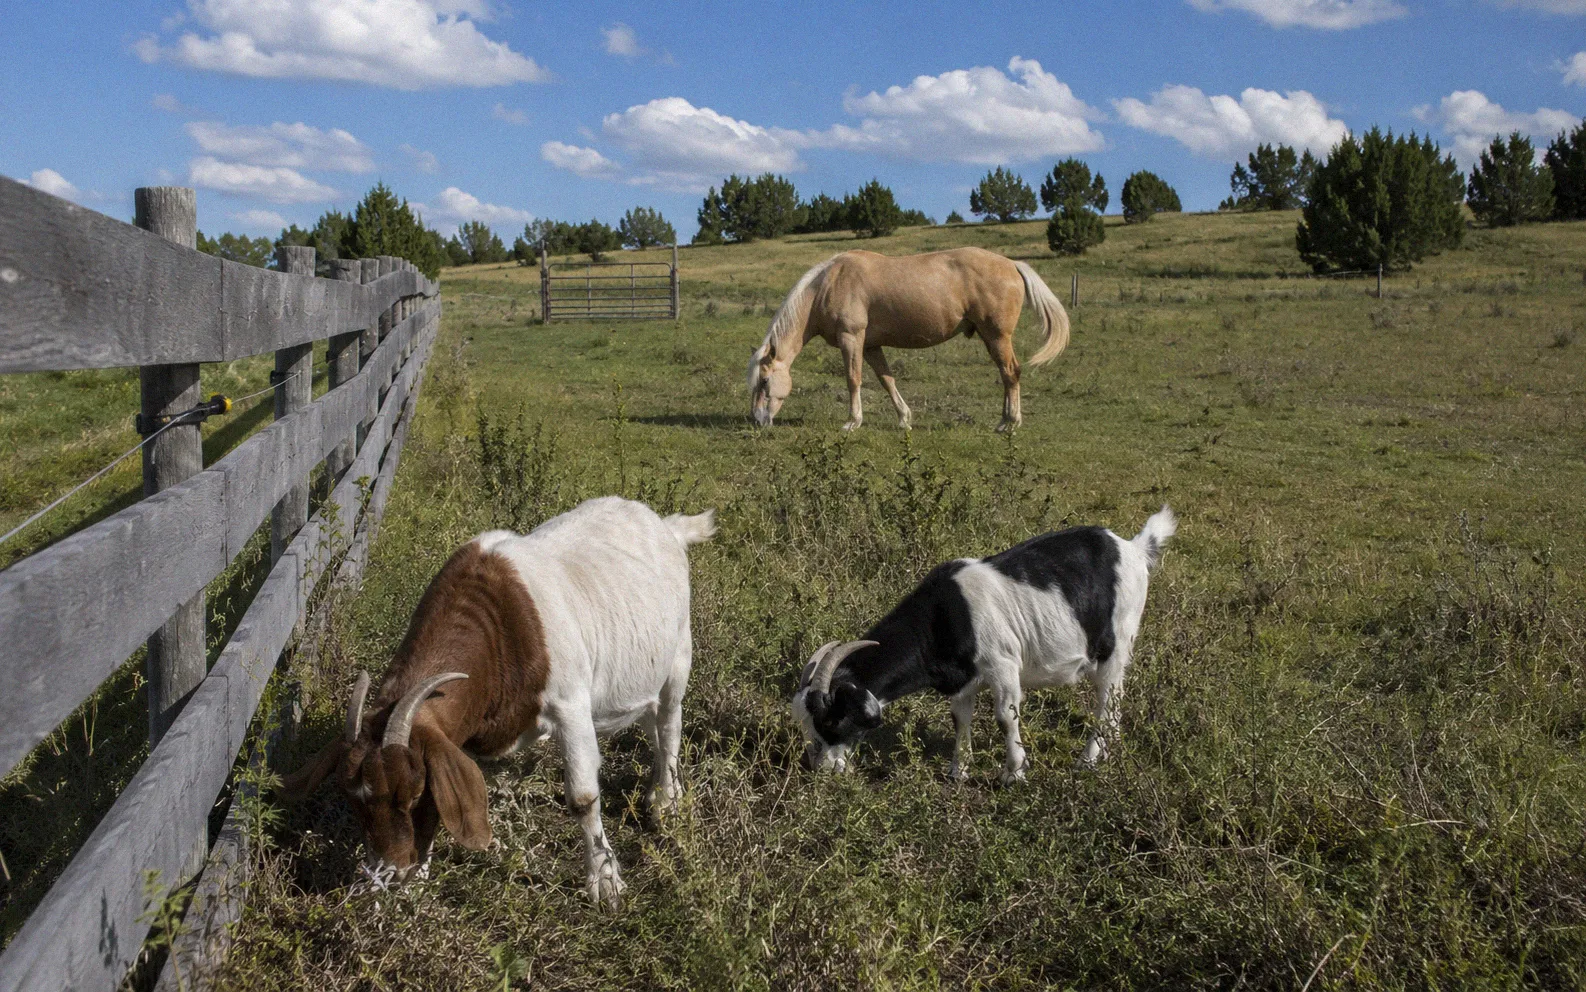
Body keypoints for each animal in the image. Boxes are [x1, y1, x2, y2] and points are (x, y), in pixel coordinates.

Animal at [281, 496, 716, 908]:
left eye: (414, 794)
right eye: (353, 801)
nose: (390, 875)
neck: (497, 626)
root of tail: (667, 527)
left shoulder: (571, 703)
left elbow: (583, 797)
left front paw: (605, 882)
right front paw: (418, 882)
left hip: (679, 653)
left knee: (669, 722)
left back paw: (666, 802)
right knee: (652, 722)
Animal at [747, 247, 1070, 431]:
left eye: (765, 381)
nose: (757, 420)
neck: (828, 284)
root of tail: (1012, 264)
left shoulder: (851, 339)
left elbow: (853, 379)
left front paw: (853, 422)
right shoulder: (871, 345)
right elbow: (887, 380)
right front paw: (904, 419)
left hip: (997, 336)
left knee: (1010, 373)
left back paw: (1009, 423)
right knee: (1006, 375)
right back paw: (1005, 420)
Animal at [792, 506, 1175, 783]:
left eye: (831, 721)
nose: (822, 769)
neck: (945, 615)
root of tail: (1135, 548)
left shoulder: (1003, 664)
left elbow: (1005, 716)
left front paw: (1013, 773)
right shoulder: (962, 678)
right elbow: (960, 717)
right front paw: (958, 772)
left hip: (1118, 640)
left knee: (1108, 699)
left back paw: (1088, 760)